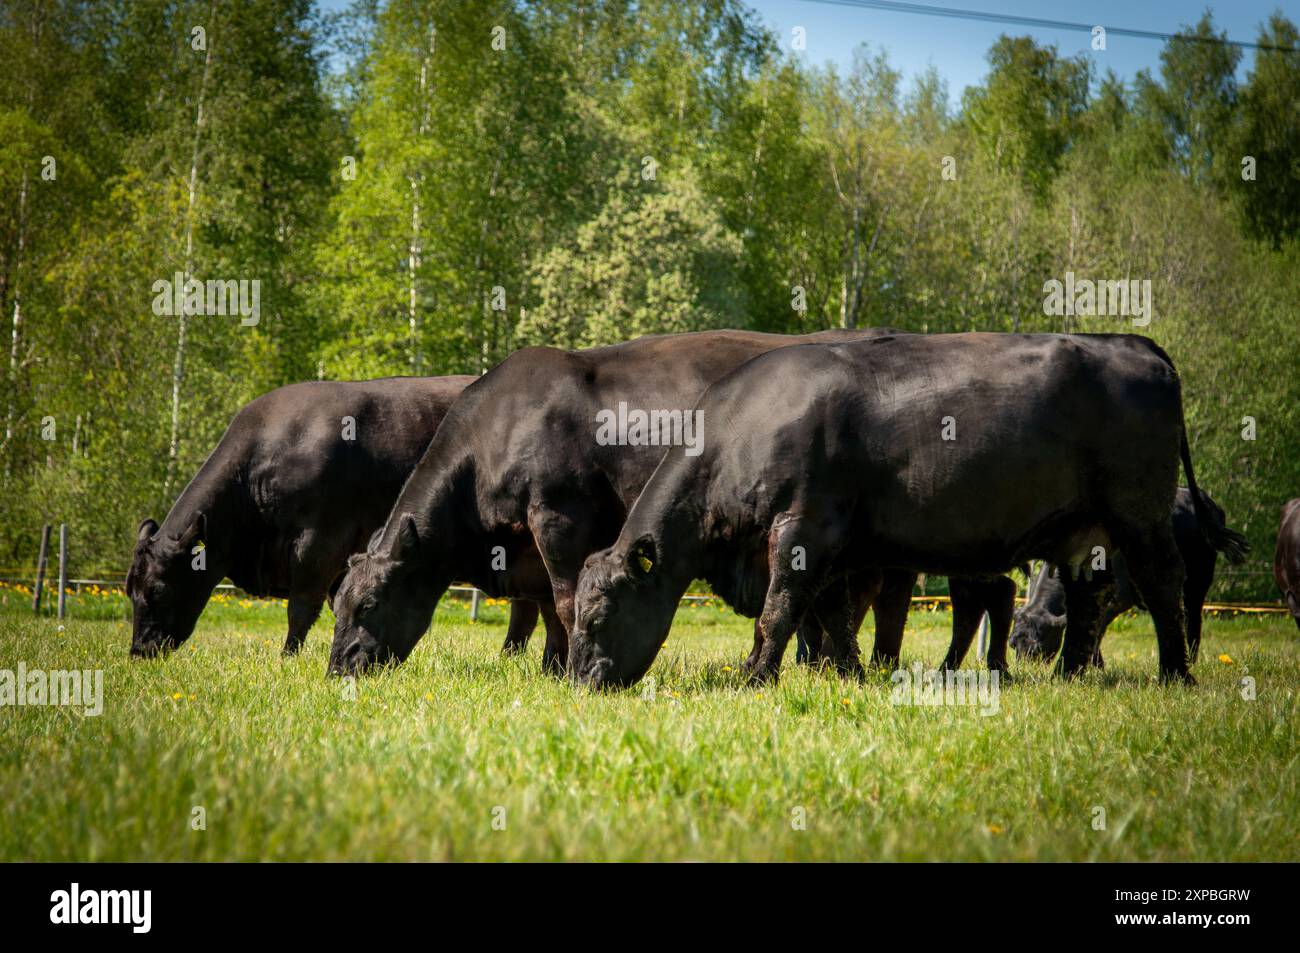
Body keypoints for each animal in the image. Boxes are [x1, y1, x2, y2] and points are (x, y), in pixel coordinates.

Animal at [126, 377, 558, 657]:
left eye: (158, 590)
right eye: (130, 591)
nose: (138, 651)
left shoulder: (319, 540)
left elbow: (301, 607)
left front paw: (288, 657)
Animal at [326, 329, 905, 678]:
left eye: (368, 604)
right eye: (339, 605)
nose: (337, 670)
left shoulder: (558, 517)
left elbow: (563, 603)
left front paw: (560, 669)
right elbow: (547, 609)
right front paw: (551, 665)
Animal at [1009, 487, 1246, 664]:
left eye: (1036, 648)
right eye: (1012, 644)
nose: (1026, 668)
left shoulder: (1120, 596)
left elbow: (1099, 627)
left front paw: (1095, 664)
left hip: (1199, 580)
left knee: (1193, 619)